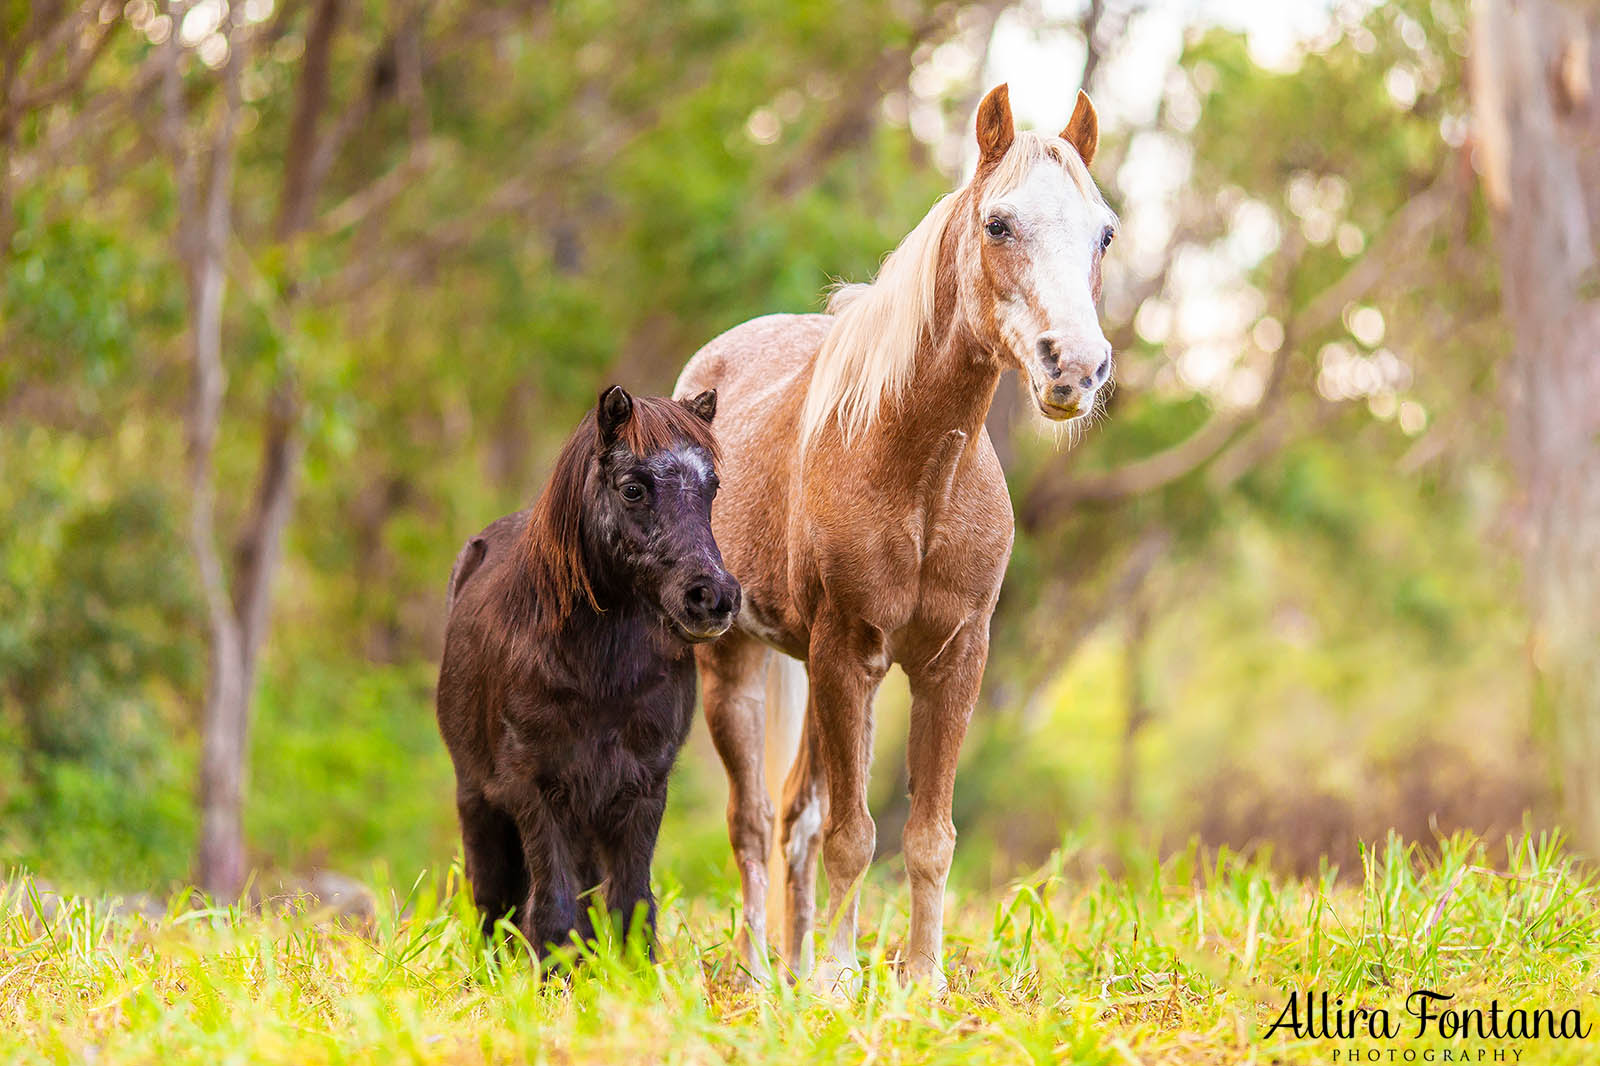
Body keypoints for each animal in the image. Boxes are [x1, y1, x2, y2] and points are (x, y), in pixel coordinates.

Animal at [435, 384, 739, 953]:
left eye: (712, 488)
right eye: (633, 488)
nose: (713, 598)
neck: (602, 676)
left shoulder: (642, 789)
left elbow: (629, 904)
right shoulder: (538, 792)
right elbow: (552, 911)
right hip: (478, 798)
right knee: (491, 897)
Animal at [675, 85, 1113, 985]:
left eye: (1105, 233)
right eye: (998, 224)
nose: (1076, 369)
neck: (918, 479)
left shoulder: (952, 660)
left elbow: (925, 836)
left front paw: (919, 980)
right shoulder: (849, 653)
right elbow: (853, 835)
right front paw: (843, 983)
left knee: (793, 817)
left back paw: (795, 966)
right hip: (733, 664)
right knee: (752, 820)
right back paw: (762, 970)